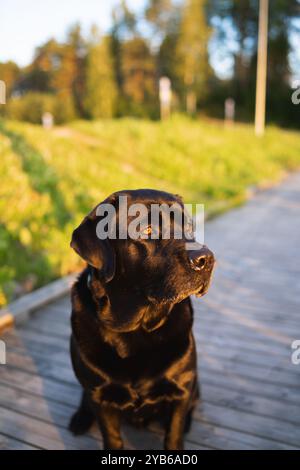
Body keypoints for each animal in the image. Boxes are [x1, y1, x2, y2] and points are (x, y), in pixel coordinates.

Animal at [69, 189, 214, 450]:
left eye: (189, 226)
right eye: (147, 230)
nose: (206, 259)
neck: (136, 330)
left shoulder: (182, 388)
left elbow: (174, 435)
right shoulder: (100, 395)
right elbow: (112, 438)